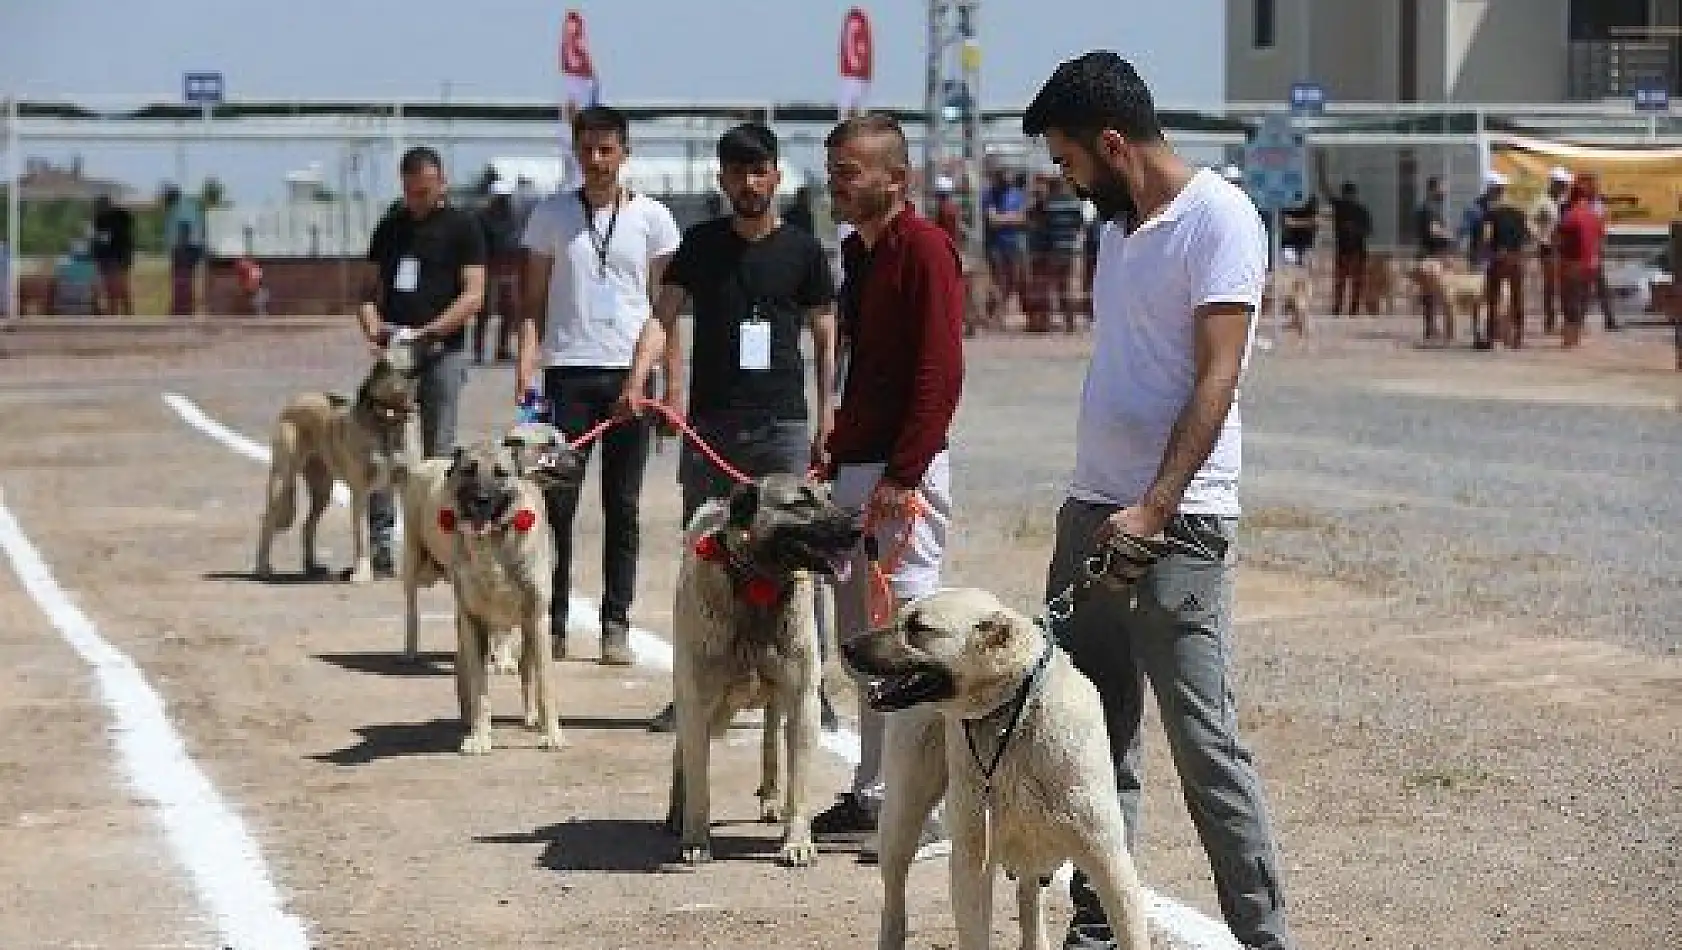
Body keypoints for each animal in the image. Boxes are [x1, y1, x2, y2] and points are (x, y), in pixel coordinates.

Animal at [260, 336, 427, 581]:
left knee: (308, 525)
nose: (432, 339)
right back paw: (262, 567)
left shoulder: (405, 485)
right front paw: (363, 574)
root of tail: (296, 399)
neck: (388, 418)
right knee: (268, 520)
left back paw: (312, 566)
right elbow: (362, 536)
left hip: (322, 489)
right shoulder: (360, 492)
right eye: (407, 341)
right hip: (282, 480)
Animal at [841, 585, 1157, 948]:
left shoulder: (1108, 861)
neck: (1011, 716)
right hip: (901, 817)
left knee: (1029, 899)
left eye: (918, 628)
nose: (845, 647)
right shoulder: (972, 861)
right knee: (895, 899)